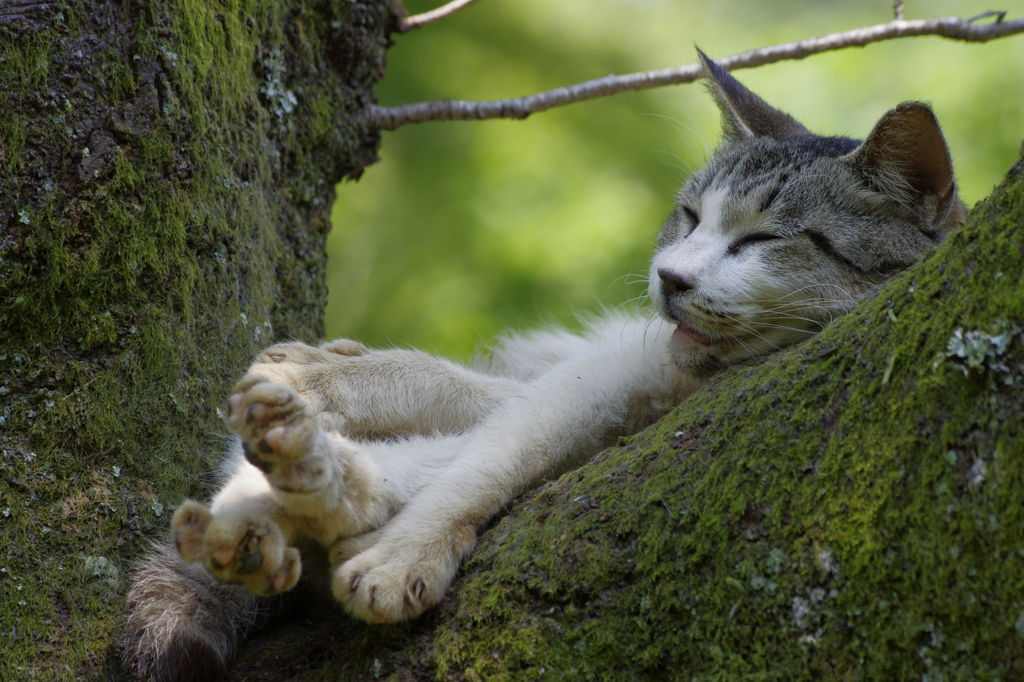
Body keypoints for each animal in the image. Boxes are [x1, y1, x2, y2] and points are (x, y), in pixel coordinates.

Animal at [117, 53, 958, 679]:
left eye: (761, 240)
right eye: (689, 216)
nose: (670, 277)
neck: (678, 387)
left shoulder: (601, 390)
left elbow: (475, 459)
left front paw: (395, 549)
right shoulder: (602, 375)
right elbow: (474, 409)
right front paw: (332, 377)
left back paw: (302, 482)